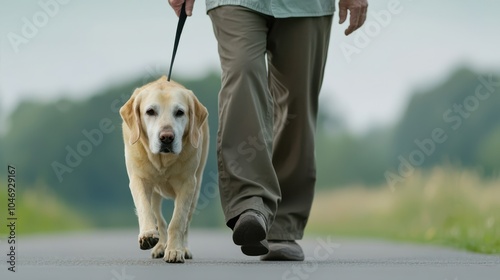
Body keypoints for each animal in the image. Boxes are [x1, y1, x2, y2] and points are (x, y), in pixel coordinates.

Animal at [119, 76, 209, 262]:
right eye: (150, 111)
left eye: (180, 112)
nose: (166, 137)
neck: (162, 161)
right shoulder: (138, 179)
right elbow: (145, 208)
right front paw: (147, 235)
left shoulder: (188, 184)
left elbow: (178, 221)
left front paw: (175, 250)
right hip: (155, 193)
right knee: (159, 219)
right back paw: (159, 246)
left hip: (196, 188)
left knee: (186, 222)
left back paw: (183, 248)